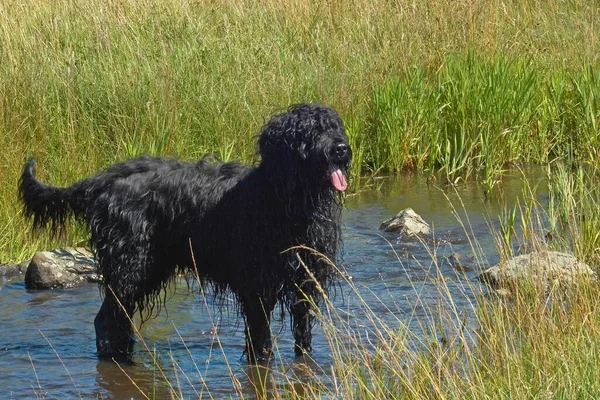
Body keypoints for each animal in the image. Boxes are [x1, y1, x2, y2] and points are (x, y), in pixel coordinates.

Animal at [18, 103, 352, 362]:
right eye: (309, 131)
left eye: (335, 127)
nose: (342, 149)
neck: (286, 201)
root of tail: (105, 178)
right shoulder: (256, 288)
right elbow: (261, 343)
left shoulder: (304, 284)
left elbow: (302, 338)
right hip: (130, 267)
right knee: (105, 320)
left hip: (150, 268)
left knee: (120, 320)